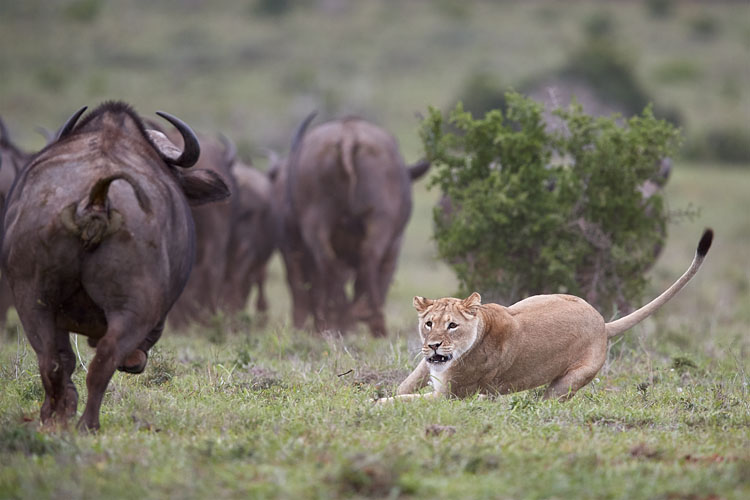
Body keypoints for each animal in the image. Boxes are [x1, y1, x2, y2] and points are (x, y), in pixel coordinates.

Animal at [0, 101, 231, 430]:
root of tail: (96, 201)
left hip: (32, 298)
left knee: (53, 360)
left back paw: (58, 416)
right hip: (135, 307)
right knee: (103, 361)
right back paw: (88, 423)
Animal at [274, 114, 428, 336]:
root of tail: (348, 136)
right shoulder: (393, 250)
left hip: (315, 224)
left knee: (326, 265)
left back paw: (339, 316)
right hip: (380, 220)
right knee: (368, 256)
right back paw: (368, 317)